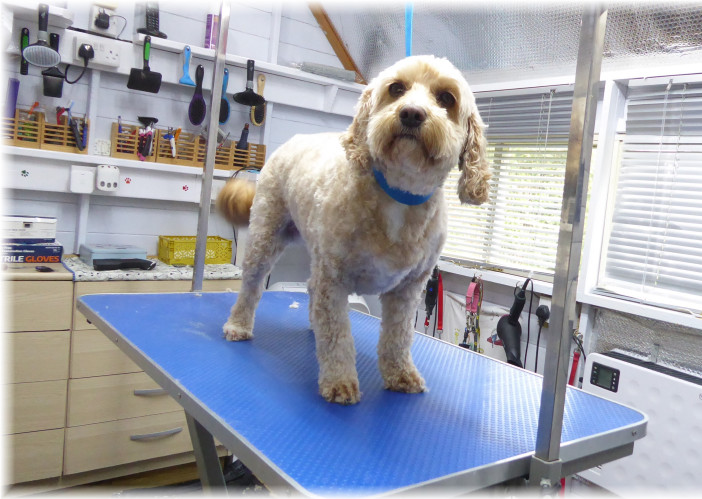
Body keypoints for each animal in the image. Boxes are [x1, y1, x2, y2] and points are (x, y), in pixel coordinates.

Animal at [217, 55, 491, 405]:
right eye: (396, 89)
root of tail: (294, 139)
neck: (399, 196)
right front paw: (339, 381)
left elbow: (398, 337)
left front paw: (400, 374)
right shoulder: (333, 279)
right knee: (251, 285)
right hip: (266, 233)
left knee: (309, 289)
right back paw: (238, 325)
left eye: (446, 98)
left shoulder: (408, 290)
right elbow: (337, 336)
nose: (411, 114)